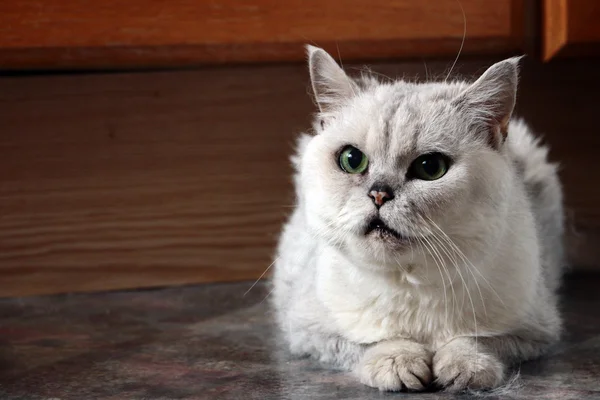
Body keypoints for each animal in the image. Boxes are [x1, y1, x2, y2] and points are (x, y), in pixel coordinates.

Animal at [272, 45, 564, 392]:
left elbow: (474, 340)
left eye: (430, 167)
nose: (379, 194)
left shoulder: (535, 330)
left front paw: (462, 369)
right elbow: (373, 342)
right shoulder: (307, 329)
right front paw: (400, 364)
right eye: (352, 160)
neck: (408, 280)